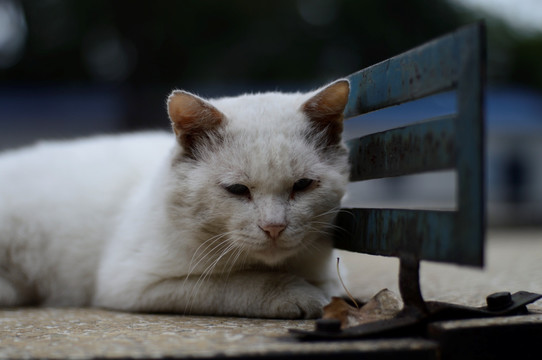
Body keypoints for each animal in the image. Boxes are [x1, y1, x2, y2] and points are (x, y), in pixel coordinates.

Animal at [0, 79, 350, 318]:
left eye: (302, 185)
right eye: (237, 190)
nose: (274, 227)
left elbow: (329, 286)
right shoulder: (136, 283)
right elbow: (242, 282)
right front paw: (300, 296)